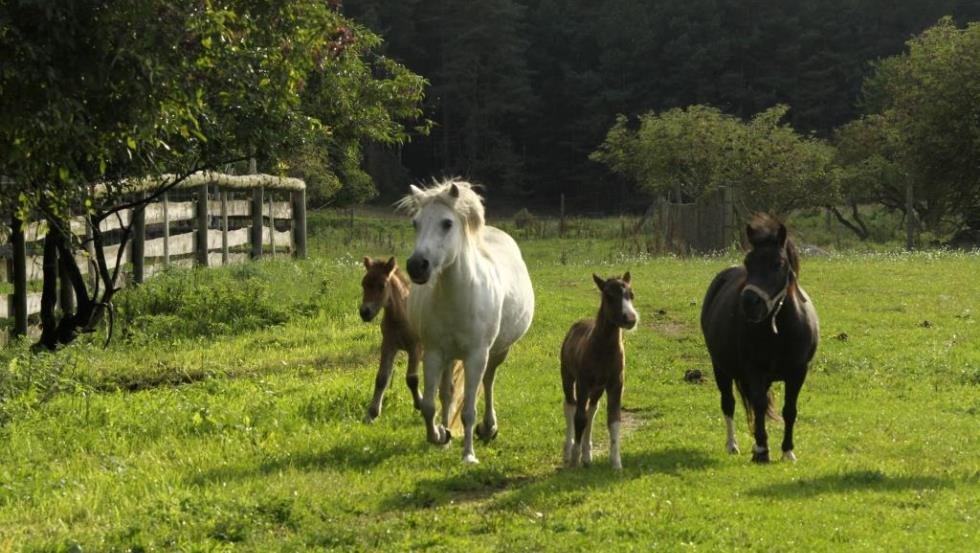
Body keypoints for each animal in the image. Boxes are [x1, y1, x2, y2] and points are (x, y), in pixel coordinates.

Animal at [360, 256, 422, 420]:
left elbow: (412, 379)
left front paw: (420, 404)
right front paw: (372, 412)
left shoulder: (415, 347)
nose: (364, 312)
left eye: (382, 286)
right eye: (363, 284)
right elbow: (382, 378)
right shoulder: (388, 345)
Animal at [398, 180, 536, 462]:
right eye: (415, 223)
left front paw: (468, 456)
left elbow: (469, 410)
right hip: (450, 356)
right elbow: (429, 404)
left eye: (447, 223)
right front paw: (440, 435)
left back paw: (489, 427)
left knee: (489, 381)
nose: (417, 266)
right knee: (447, 392)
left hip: (496, 352)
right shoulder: (434, 353)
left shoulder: (476, 355)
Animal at [564, 270, 640, 468]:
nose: (631, 319)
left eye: (631, 295)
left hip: (597, 388)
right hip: (568, 377)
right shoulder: (583, 383)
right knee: (570, 406)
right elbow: (579, 418)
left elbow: (614, 419)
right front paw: (574, 459)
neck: (603, 350)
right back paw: (568, 451)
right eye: (609, 296)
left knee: (592, 410)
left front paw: (616, 463)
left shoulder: (615, 384)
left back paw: (587, 455)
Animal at [696, 215, 820, 462]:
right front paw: (762, 450)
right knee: (729, 403)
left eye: (778, 263)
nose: (749, 302)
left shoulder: (798, 372)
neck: (779, 330)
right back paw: (732, 445)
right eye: (748, 261)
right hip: (720, 368)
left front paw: (787, 451)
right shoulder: (754, 370)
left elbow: (789, 409)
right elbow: (760, 404)